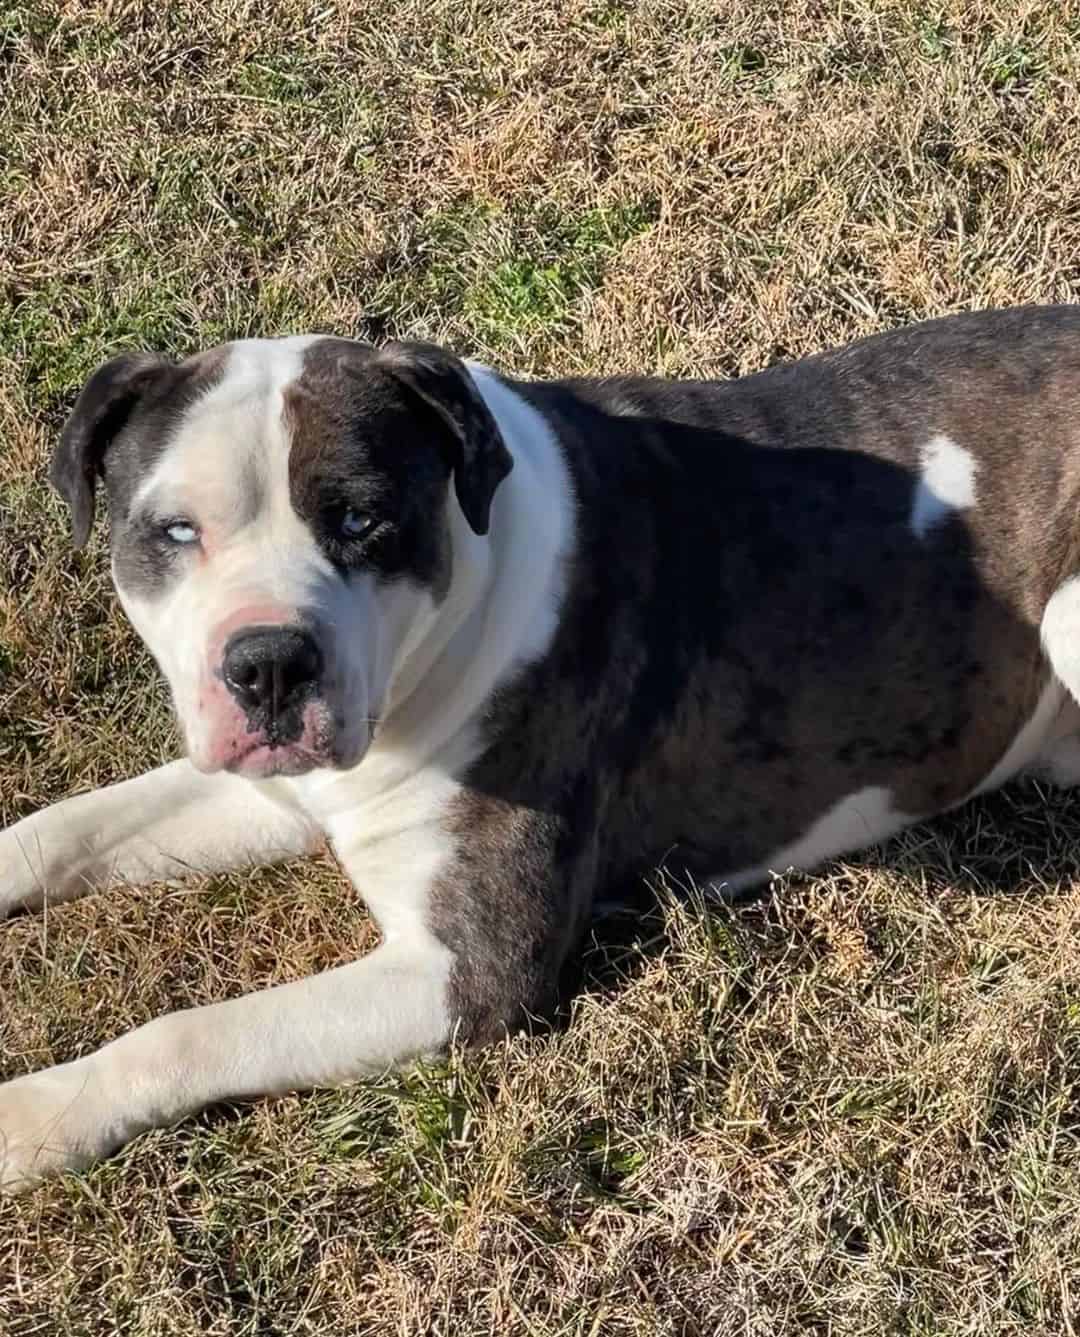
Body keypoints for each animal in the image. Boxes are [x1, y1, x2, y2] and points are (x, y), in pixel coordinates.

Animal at [2, 306, 1080, 1192]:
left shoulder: (466, 970)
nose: (269, 661)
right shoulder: (273, 792)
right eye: (175, 532)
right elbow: (61, 829)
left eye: (361, 517)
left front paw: (35, 1113)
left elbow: (187, 1031)